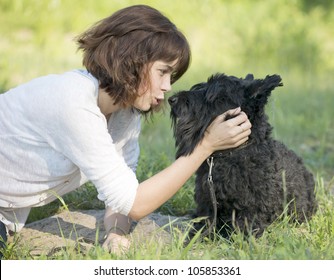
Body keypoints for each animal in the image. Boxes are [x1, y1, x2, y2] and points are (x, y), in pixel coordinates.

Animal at [168, 73, 318, 237]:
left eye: (214, 95)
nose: (172, 99)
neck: (231, 154)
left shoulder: (251, 208)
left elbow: (246, 227)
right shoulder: (207, 203)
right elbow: (204, 223)